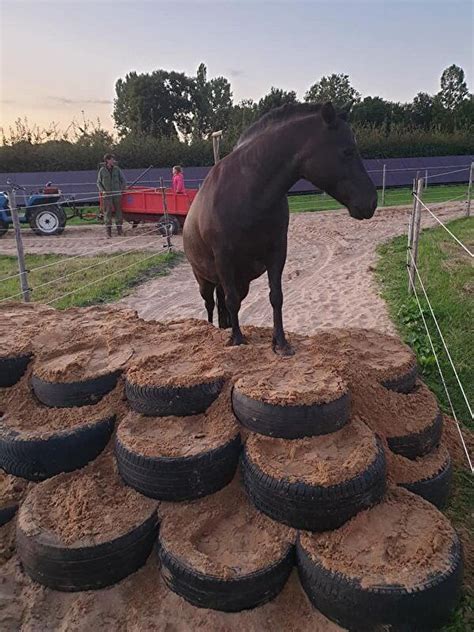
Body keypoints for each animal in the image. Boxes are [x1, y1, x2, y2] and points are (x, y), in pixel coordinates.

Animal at [182, 101, 378, 354]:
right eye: (347, 151)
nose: (371, 201)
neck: (247, 191)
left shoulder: (277, 252)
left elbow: (276, 297)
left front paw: (280, 343)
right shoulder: (224, 258)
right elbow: (231, 301)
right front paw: (238, 339)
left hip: (239, 281)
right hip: (204, 280)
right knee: (209, 304)